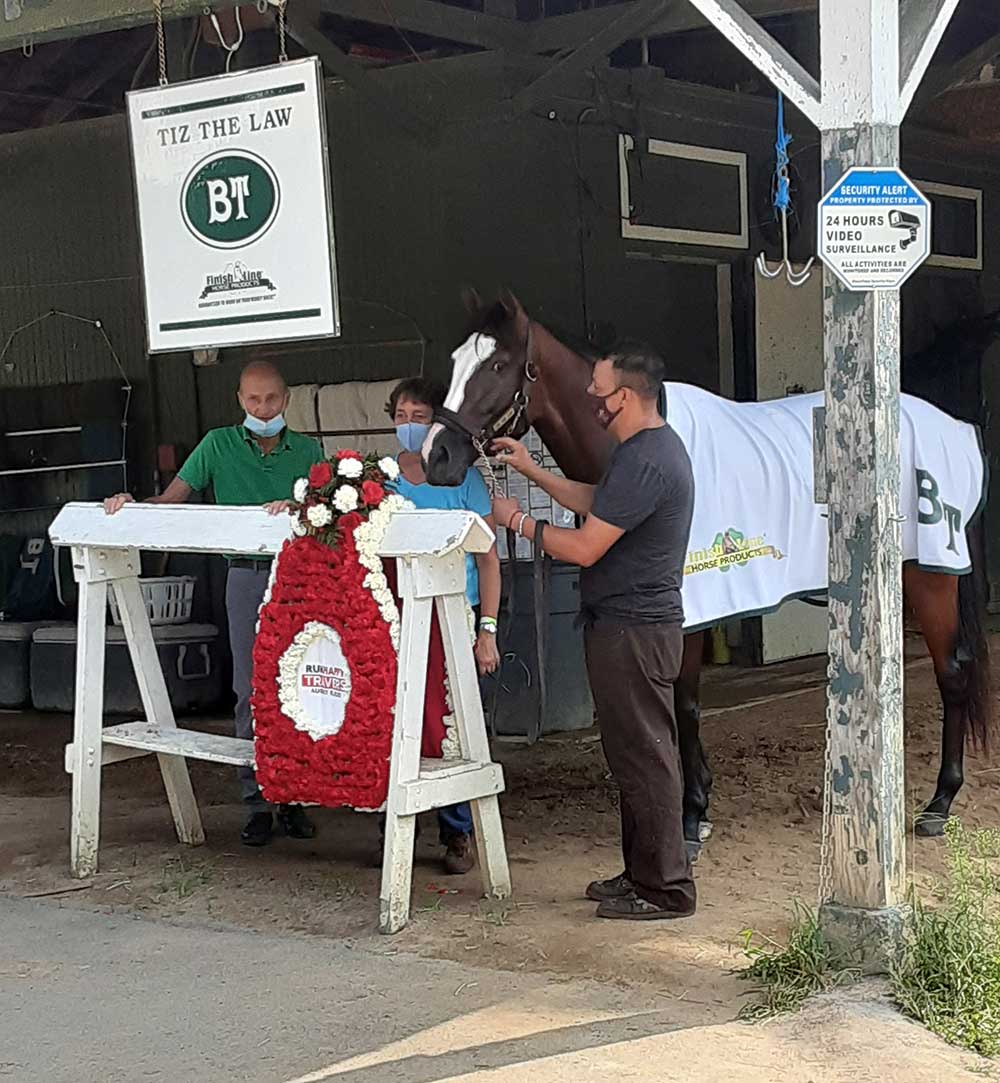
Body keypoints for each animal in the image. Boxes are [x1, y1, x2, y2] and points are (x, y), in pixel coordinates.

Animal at [426, 290, 996, 862]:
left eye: (497, 365)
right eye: (453, 361)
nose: (437, 457)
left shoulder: (690, 611)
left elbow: (684, 707)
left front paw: (690, 817)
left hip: (930, 576)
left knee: (951, 672)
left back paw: (939, 802)